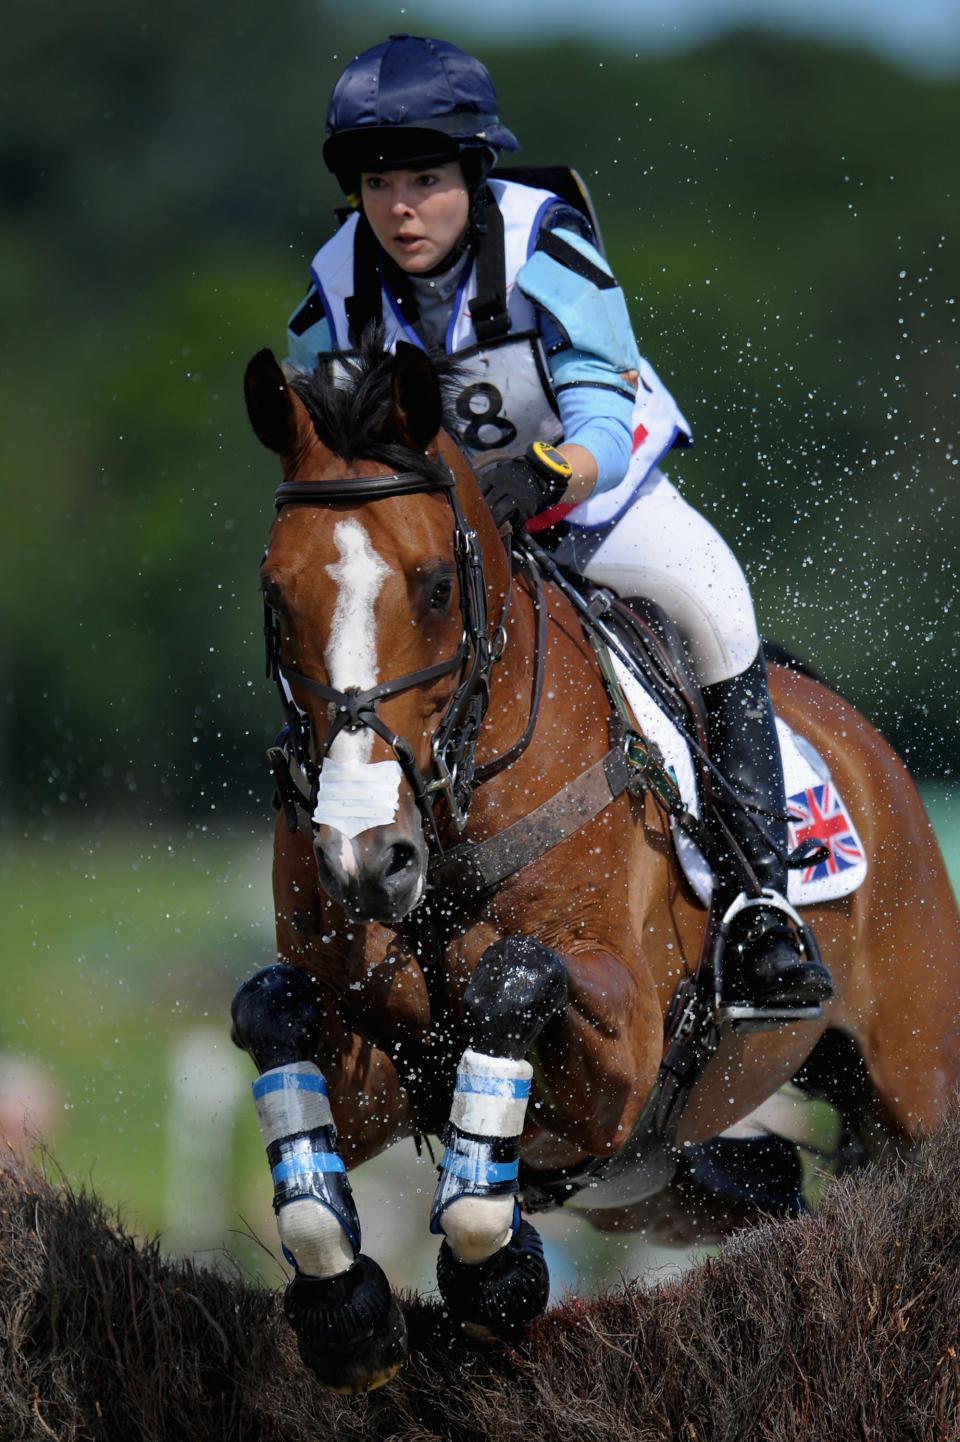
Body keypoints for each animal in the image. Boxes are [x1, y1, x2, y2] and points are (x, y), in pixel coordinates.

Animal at [233, 340, 957, 1395]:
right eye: (275, 597)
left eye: (435, 587)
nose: (365, 860)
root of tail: (865, 745)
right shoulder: (380, 1069)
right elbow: (274, 1015)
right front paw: (348, 1313)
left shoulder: (623, 1049)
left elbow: (513, 980)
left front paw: (493, 1273)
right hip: (658, 1179)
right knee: (759, 1182)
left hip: (913, 1086)